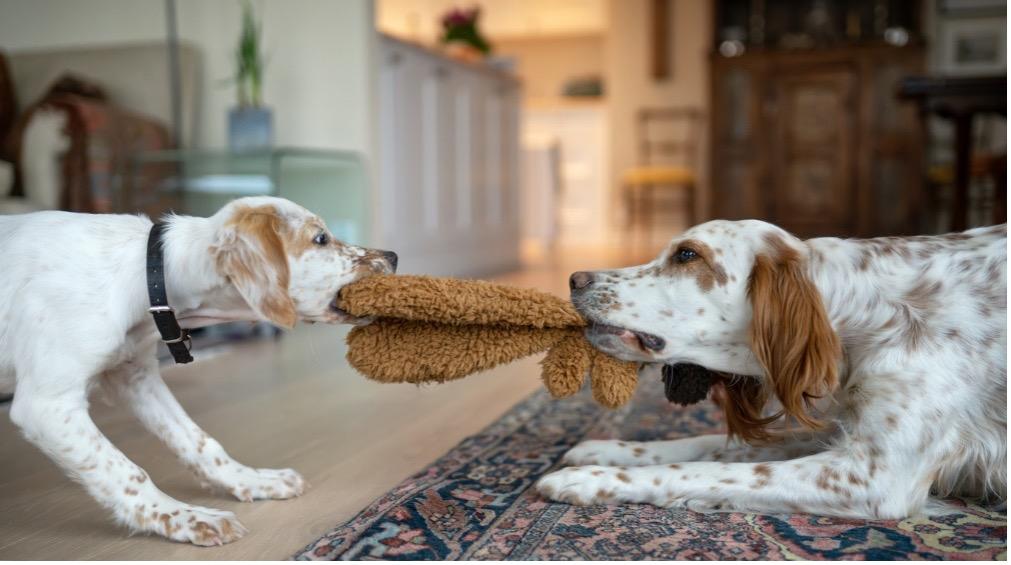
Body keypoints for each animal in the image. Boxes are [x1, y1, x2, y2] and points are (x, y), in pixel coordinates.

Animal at [0, 197, 394, 545]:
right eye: (320, 238)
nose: (393, 256)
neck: (143, 277)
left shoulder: (136, 376)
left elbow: (199, 440)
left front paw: (252, 481)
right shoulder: (48, 405)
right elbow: (126, 471)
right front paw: (183, 518)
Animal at [537, 219, 1002, 521]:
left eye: (687, 254)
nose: (575, 279)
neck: (871, 315)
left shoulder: (875, 475)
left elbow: (712, 471)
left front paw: (590, 479)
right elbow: (709, 445)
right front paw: (606, 449)